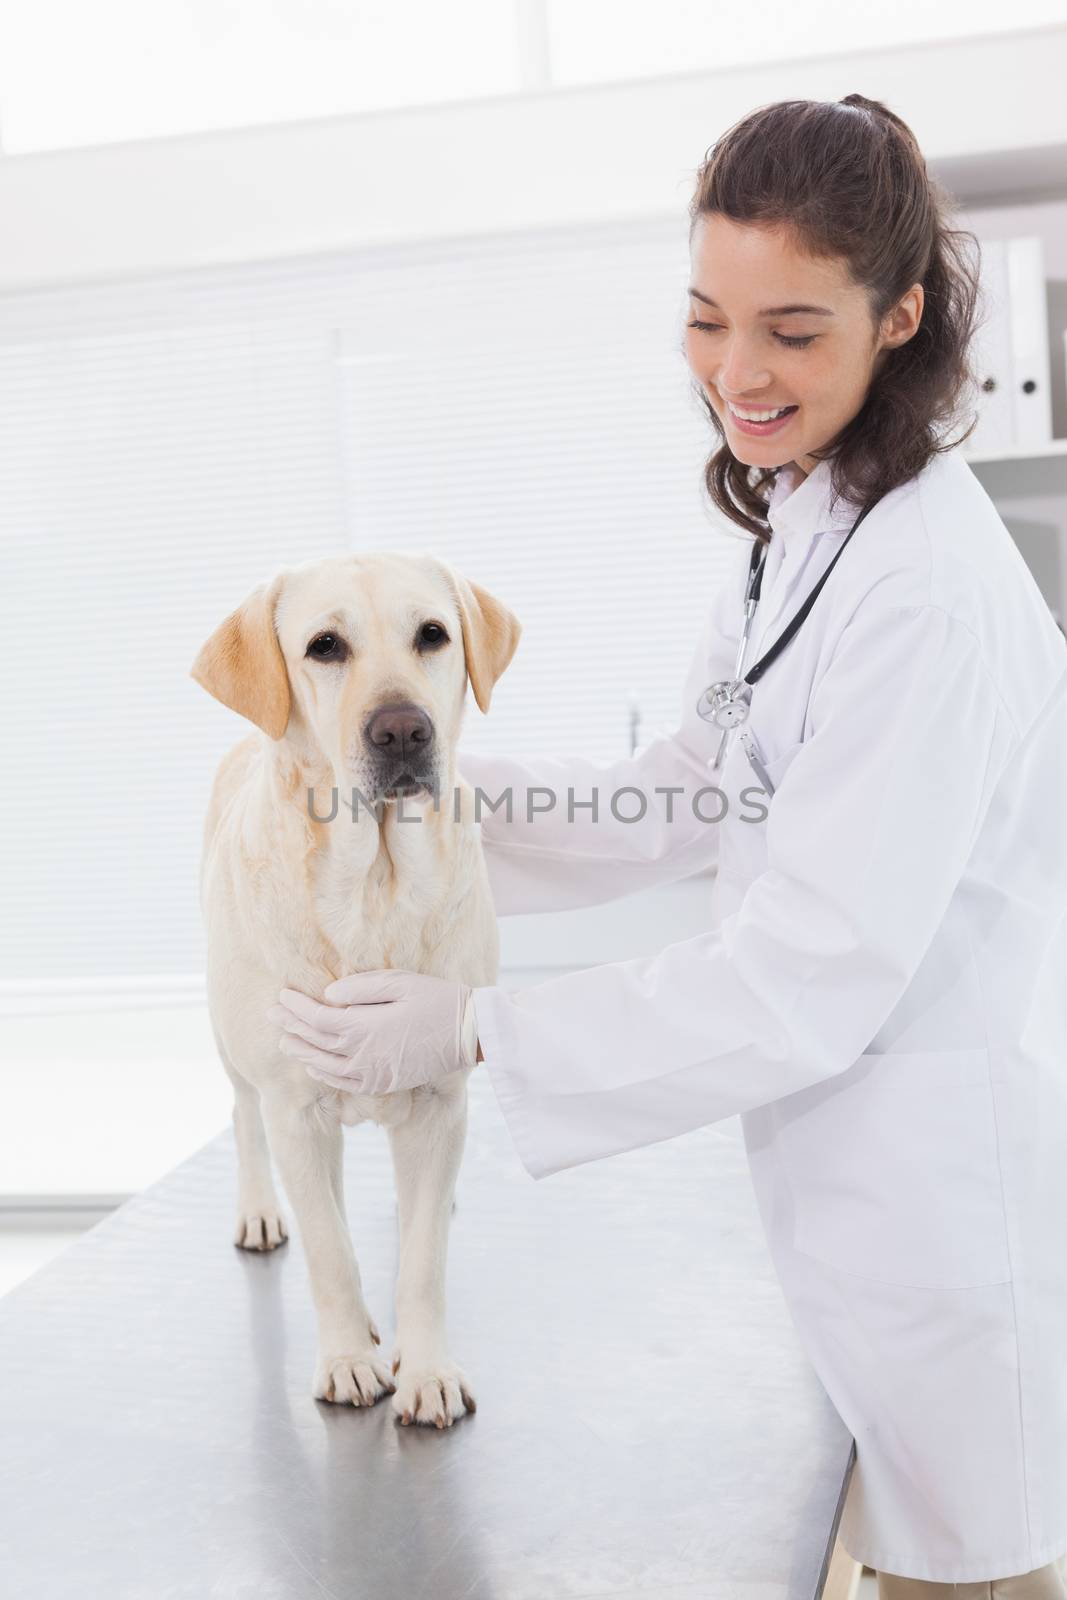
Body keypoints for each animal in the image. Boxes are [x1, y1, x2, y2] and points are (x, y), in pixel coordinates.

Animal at [194, 556, 524, 1433]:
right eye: (324, 647)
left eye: (433, 635)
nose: (403, 730)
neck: (376, 879)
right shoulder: (294, 1104)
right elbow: (331, 1256)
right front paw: (347, 1358)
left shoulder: (441, 1100)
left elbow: (422, 1264)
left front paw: (427, 1369)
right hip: (237, 1051)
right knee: (250, 1127)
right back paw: (262, 1210)